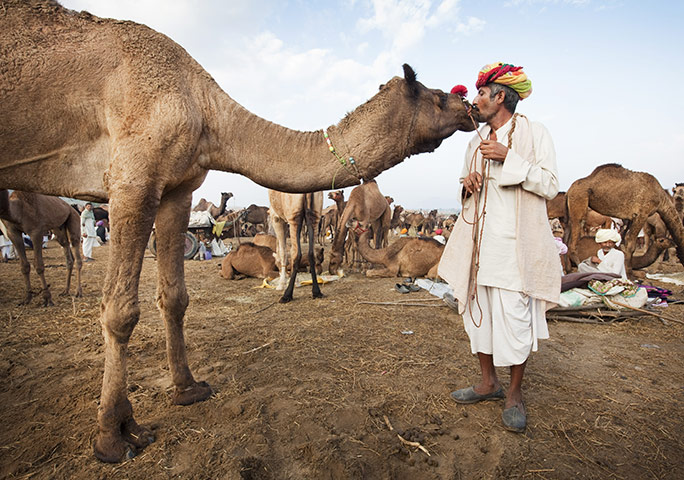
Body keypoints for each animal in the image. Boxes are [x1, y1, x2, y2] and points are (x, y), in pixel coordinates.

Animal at [0, 1, 475, 463]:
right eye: (437, 96)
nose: (468, 106)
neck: (205, 111)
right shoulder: (131, 180)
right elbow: (119, 310)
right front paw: (114, 434)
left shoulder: (177, 188)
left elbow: (174, 297)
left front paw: (188, 390)